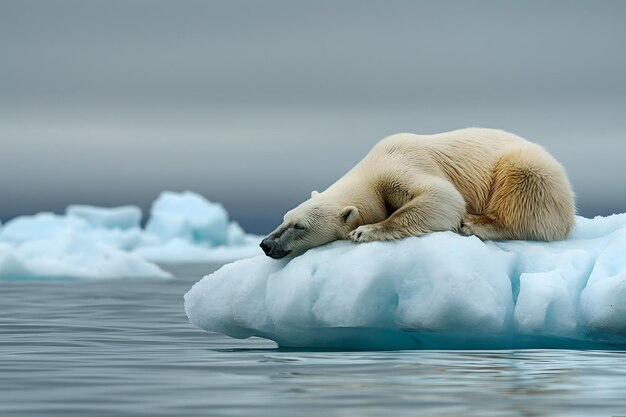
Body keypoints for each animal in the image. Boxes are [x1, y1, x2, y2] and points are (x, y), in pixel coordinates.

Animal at [260, 127, 576, 258]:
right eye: (285, 218)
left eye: (300, 226)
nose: (265, 243)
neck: (372, 165)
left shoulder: (402, 164)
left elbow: (444, 198)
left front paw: (365, 231)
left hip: (530, 171)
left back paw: (476, 223)